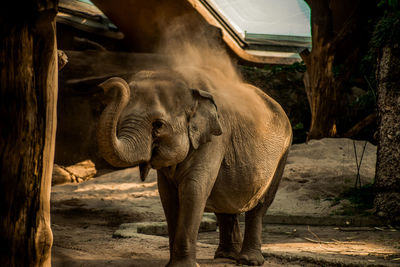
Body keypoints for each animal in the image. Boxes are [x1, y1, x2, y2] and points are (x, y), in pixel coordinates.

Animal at [96, 69, 290, 267]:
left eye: (158, 125)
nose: (103, 85)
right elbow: (168, 195)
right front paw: (172, 265)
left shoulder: (216, 138)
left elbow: (193, 189)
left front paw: (183, 266)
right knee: (224, 204)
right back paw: (226, 256)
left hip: (283, 153)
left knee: (260, 204)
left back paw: (248, 260)